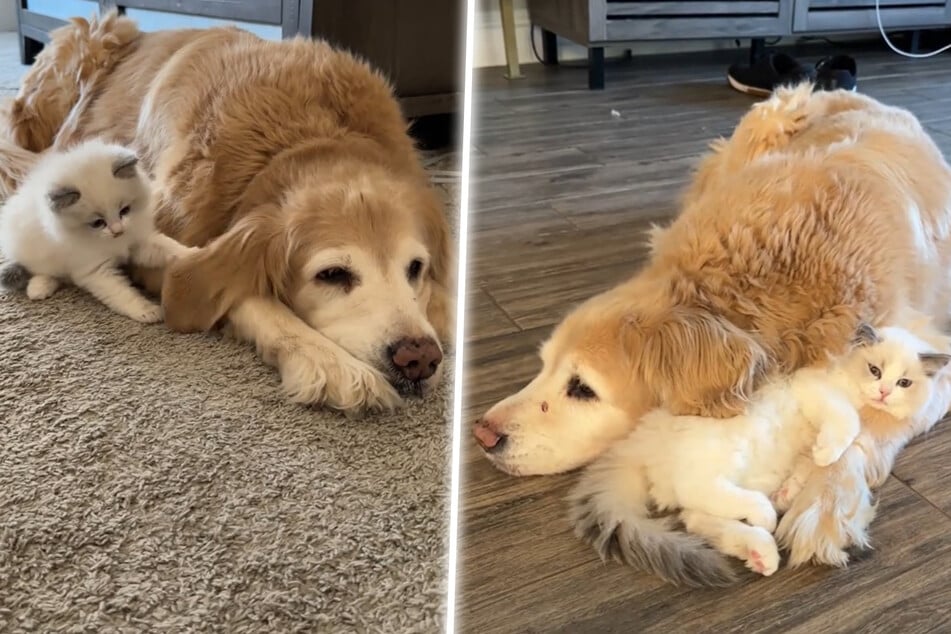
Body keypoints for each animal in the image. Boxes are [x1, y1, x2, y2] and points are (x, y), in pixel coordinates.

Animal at [0, 140, 195, 324]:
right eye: (97, 223)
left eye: (124, 211)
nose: (118, 230)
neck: (114, 242)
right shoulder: (96, 270)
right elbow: (123, 295)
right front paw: (146, 311)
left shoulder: (138, 242)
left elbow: (169, 247)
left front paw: (194, 255)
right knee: (40, 270)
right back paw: (39, 288)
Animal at [568, 324, 948, 584]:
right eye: (875, 370)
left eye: (904, 383)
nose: (883, 392)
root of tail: (639, 440)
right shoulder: (816, 389)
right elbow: (845, 422)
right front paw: (828, 451)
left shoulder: (808, 450)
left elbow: (806, 469)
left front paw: (794, 486)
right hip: (719, 454)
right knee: (700, 493)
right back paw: (763, 517)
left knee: (695, 515)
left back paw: (760, 550)